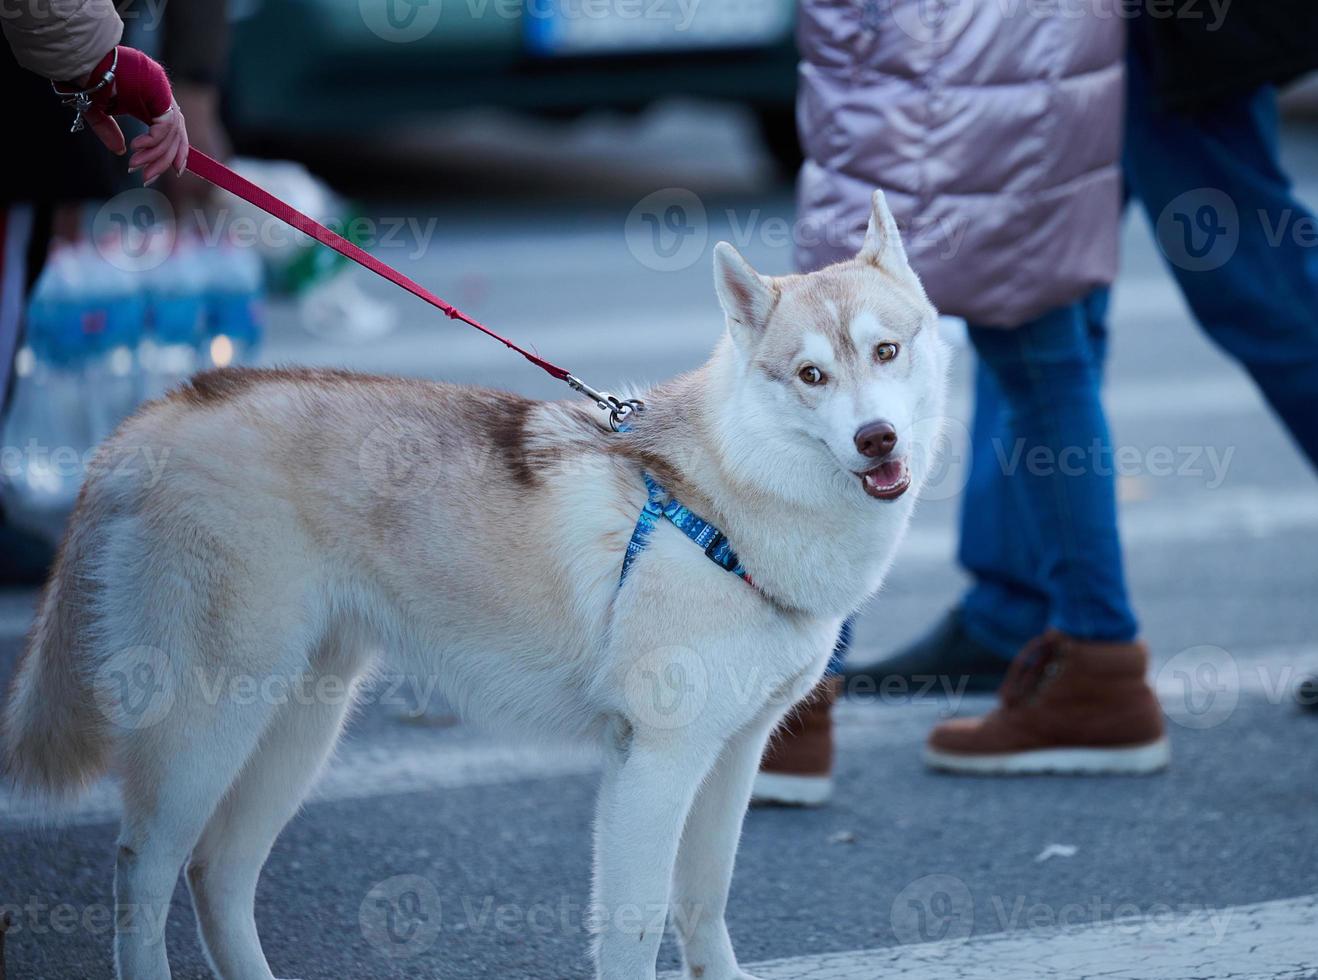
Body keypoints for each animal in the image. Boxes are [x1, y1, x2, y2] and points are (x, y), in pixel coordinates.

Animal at [0, 187, 948, 974]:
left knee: (217, 875)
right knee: (144, 873)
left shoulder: (732, 754)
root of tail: (160, 412)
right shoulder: (655, 763)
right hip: (207, 730)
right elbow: (636, 928)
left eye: (886, 351)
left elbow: (704, 905)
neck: (719, 504)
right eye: (811, 374)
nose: (876, 440)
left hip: (299, 724)